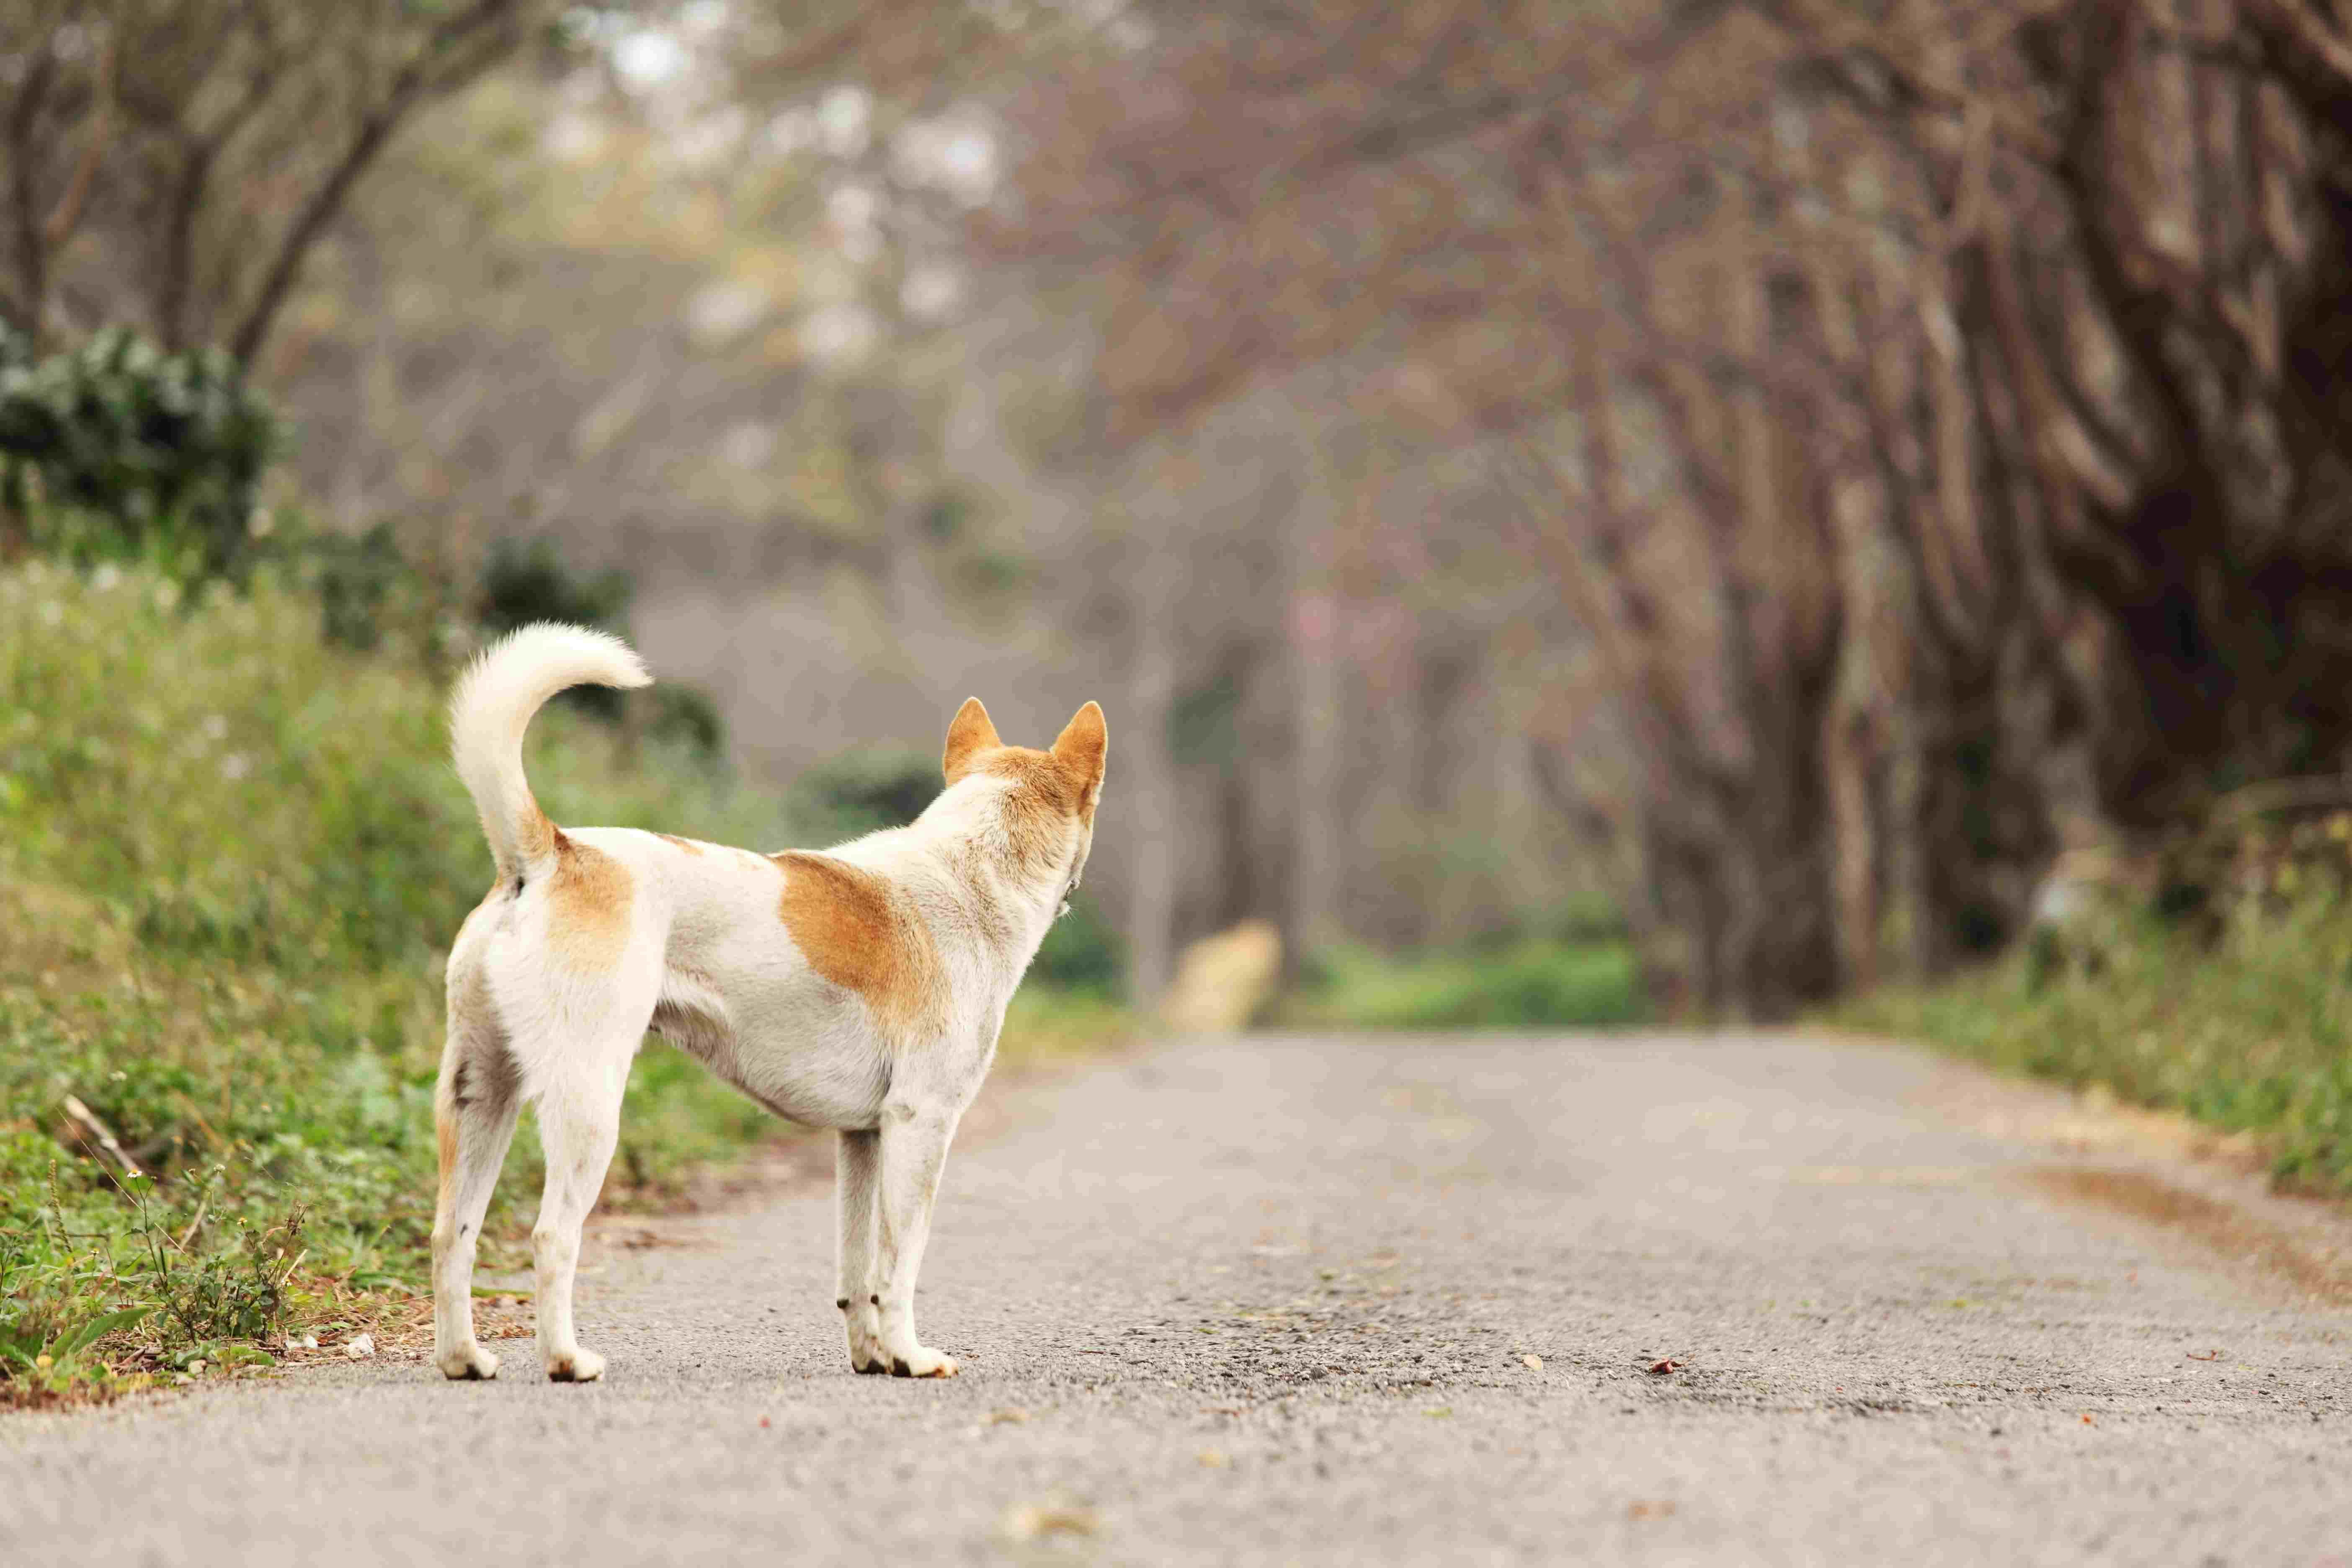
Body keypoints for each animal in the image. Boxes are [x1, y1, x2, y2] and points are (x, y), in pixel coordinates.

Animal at [429, 623, 1106, 1383]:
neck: (972, 870)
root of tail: (550, 852)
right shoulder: (921, 1124)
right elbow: (899, 1264)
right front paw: (909, 1355)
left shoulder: (862, 1139)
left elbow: (857, 1272)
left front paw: (872, 1356)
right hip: (588, 1106)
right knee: (552, 1236)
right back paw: (568, 1359)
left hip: (480, 1098)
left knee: (451, 1235)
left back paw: (463, 1358)